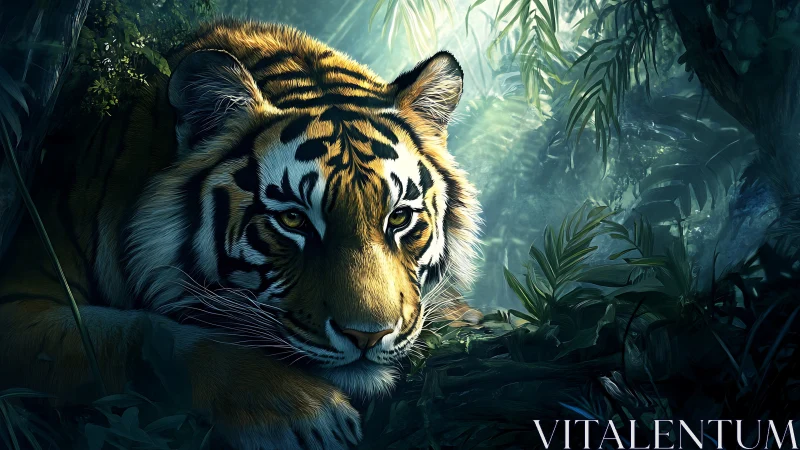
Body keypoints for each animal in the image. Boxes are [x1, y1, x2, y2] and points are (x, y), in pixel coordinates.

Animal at [0, 19, 480, 449]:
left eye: (399, 218)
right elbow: (144, 337)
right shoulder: (21, 301)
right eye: (294, 221)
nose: (369, 336)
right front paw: (303, 412)